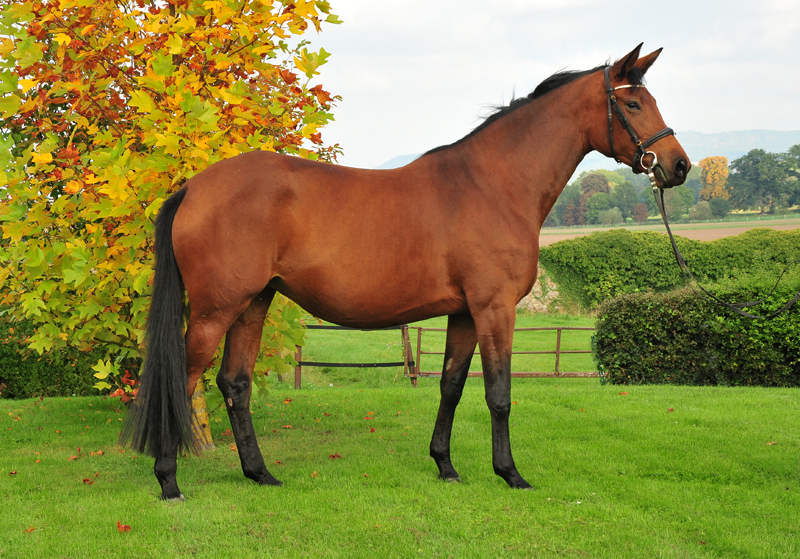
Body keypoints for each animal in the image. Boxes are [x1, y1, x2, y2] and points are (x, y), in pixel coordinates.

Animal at [122, 41, 692, 500]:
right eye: (633, 103)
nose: (679, 165)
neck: (493, 184)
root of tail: (194, 187)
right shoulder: (495, 309)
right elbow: (499, 393)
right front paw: (509, 473)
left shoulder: (464, 313)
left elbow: (452, 385)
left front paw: (445, 466)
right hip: (215, 311)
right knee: (183, 379)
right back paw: (169, 481)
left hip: (252, 304)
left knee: (235, 384)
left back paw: (260, 474)